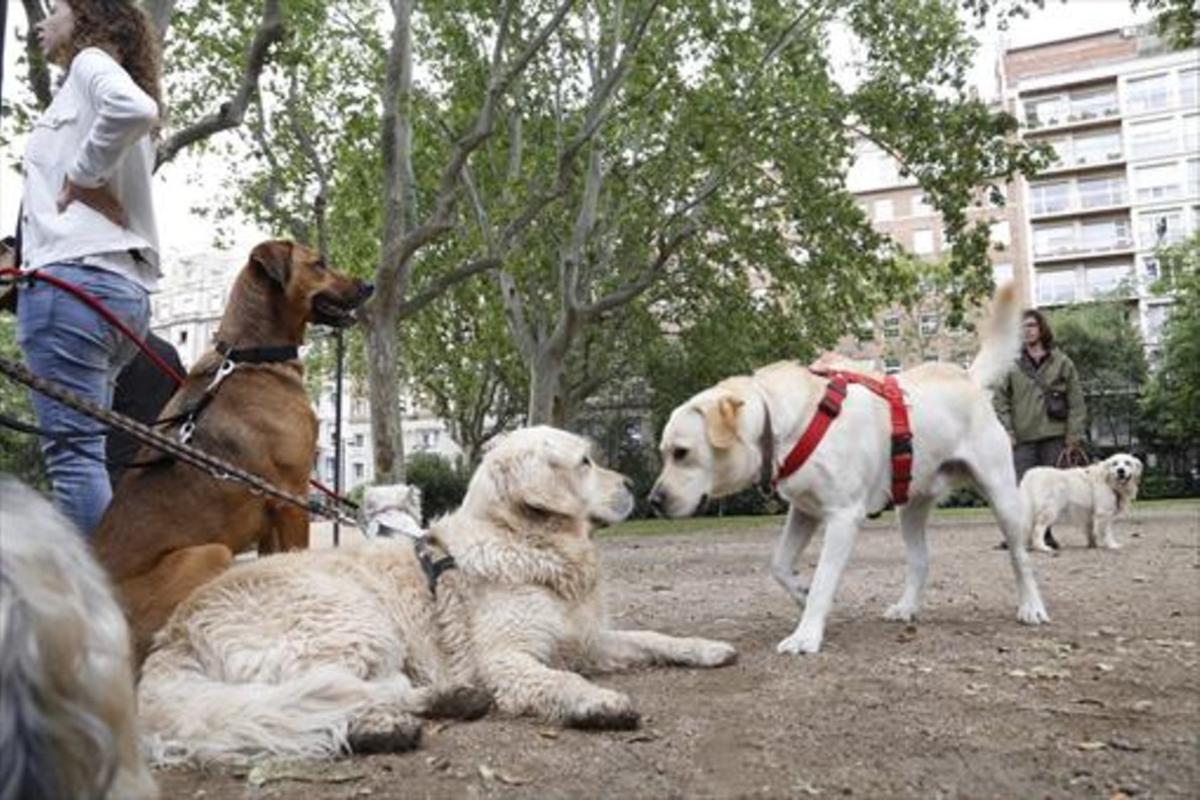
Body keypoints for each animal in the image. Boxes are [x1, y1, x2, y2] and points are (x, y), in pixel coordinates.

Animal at [94, 241, 369, 662]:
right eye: (320, 263)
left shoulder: (272, 514)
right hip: (209, 554)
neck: (253, 357)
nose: (369, 285)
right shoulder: (292, 498)